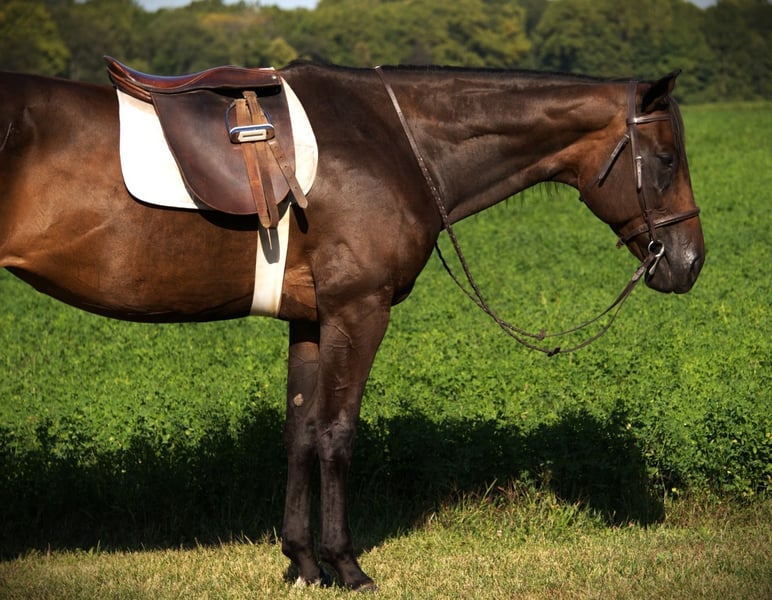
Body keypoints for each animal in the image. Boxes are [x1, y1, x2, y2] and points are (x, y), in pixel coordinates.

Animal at [0, 61, 704, 590]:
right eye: (667, 158)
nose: (690, 263)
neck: (393, 140)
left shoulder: (312, 320)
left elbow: (301, 433)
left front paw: (302, 562)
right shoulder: (358, 310)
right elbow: (337, 434)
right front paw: (346, 565)